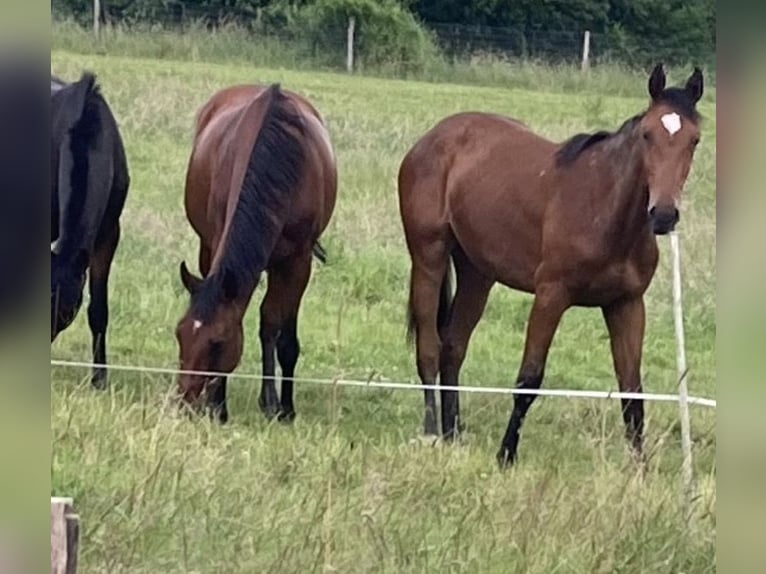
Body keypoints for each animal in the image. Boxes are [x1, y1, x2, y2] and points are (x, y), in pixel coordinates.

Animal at [175, 83, 337, 424]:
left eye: (217, 343)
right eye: (179, 333)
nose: (186, 404)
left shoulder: (297, 262)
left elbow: (275, 328)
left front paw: (279, 405)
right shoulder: (213, 244)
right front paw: (219, 407)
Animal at [398, 63, 704, 467]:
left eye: (694, 140)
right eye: (647, 134)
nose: (664, 214)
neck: (605, 210)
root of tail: (432, 138)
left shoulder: (626, 305)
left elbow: (632, 390)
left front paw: (639, 467)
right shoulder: (551, 297)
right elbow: (529, 379)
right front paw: (506, 455)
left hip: (478, 274)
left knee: (453, 347)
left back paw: (453, 434)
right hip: (429, 258)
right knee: (429, 349)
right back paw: (433, 431)